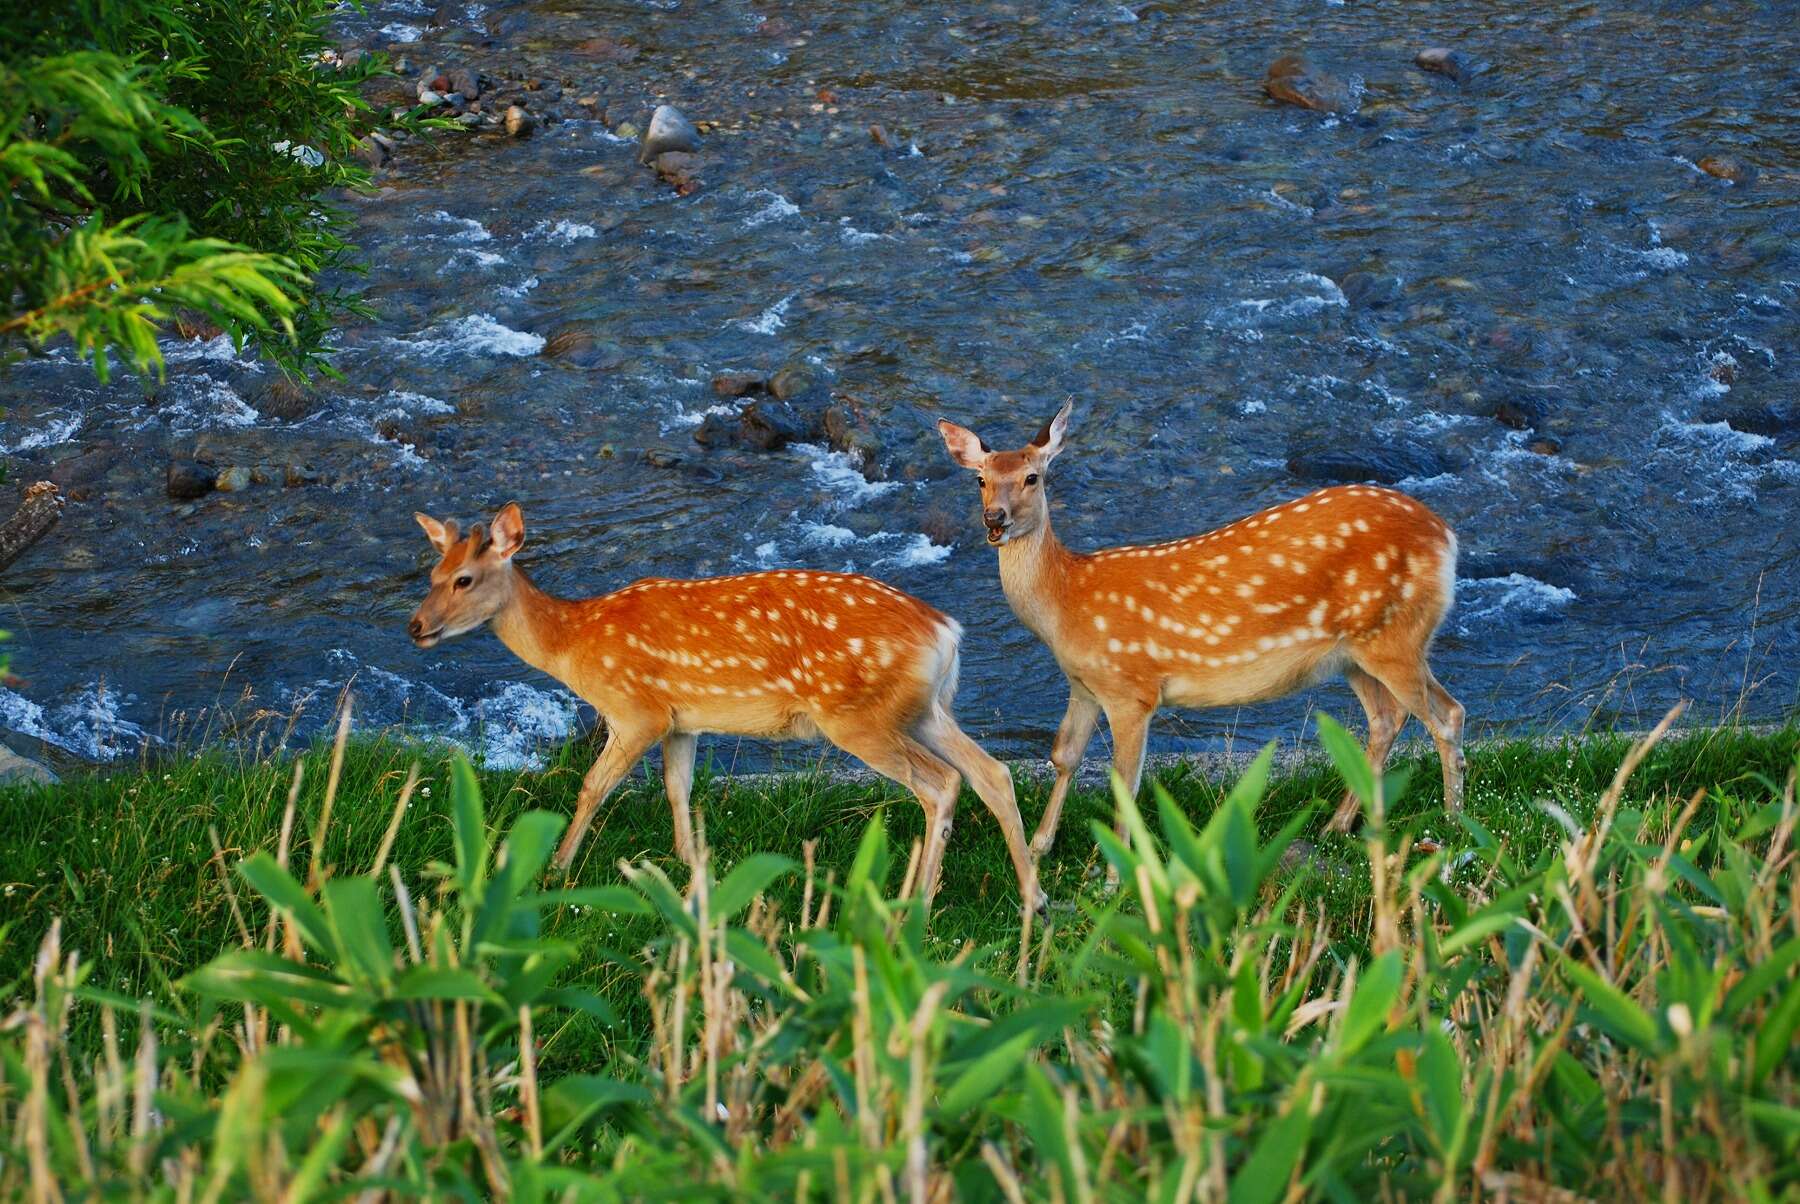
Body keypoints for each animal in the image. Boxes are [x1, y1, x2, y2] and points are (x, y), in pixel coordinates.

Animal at [401, 496, 1036, 899]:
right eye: (431, 574)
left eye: (464, 579)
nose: (415, 626)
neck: (575, 642)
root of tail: (945, 632)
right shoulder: (682, 721)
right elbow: (677, 788)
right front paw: (688, 863)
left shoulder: (635, 710)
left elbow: (593, 787)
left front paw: (556, 868)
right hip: (925, 709)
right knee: (992, 772)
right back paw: (1035, 898)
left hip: (856, 717)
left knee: (942, 783)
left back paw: (919, 903)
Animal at [936, 403, 1468, 845]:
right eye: (980, 479)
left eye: (1032, 477)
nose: (995, 519)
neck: (1067, 601)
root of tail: (1446, 534)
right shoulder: (1083, 683)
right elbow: (1063, 754)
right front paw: (1040, 848)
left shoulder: (1132, 689)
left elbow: (1124, 781)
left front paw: (1114, 874)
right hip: (1355, 652)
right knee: (1388, 718)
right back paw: (1339, 825)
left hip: (1395, 637)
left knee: (1447, 713)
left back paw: (1451, 820)